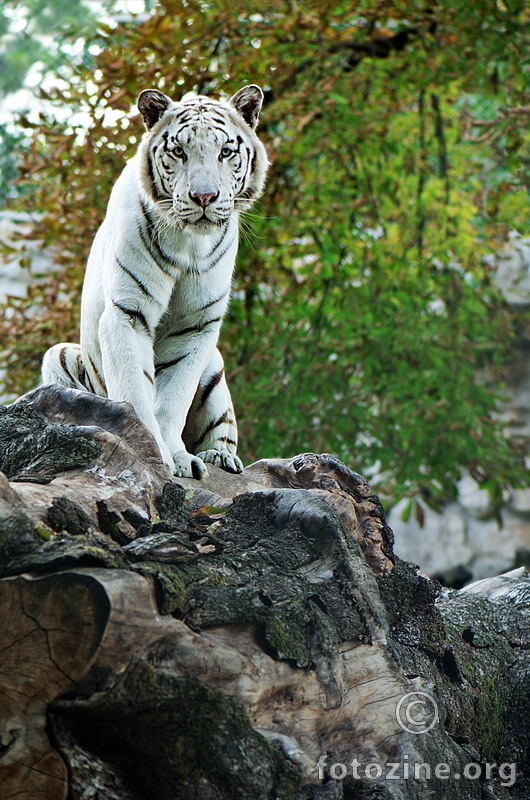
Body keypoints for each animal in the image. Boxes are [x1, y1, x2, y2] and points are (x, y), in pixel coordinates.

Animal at [40, 85, 268, 478]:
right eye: (179, 152)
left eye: (225, 152)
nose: (204, 197)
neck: (189, 243)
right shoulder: (128, 313)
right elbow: (135, 389)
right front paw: (153, 453)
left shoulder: (196, 327)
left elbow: (173, 399)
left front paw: (180, 458)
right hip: (61, 356)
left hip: (215, 368)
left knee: (223, 431)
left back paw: (220, 457)